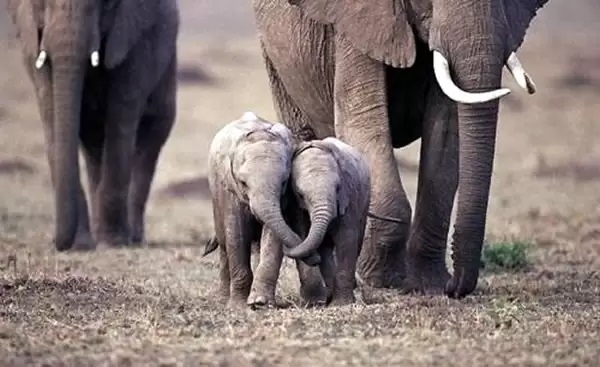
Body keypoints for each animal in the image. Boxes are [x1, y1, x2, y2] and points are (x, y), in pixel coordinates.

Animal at [5, 0, 179, 252]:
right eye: (41, 4)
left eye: (104, 5)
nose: (58, 244)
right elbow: (51, 115)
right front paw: (81, 245)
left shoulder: (134, 43)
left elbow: (120, 118)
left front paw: (113, 243)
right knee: (94, 144)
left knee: (151, 137)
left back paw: (133, 238)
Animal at [204, 113, 322, 310]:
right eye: (243, 183)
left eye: (284, 182)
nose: (317, 258)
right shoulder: (230, 190)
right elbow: (236, 234)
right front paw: (237, 307)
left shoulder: (283, 198)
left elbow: (272, 237)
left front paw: (259, 303)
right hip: (215, 193)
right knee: (223, 243)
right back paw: (222, 300)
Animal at [248, 138, 370, 308]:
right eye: (300, 195)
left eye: (338, 188)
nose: (314, 258)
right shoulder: (296, 207)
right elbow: (304, 233)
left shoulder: (349, 197)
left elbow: (346, 240)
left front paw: (341, 304)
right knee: (325, 248)